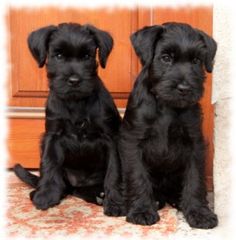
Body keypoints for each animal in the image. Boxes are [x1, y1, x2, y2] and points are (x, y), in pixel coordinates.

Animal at [13, 22, 122, 210]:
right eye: (58, 55)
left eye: (87, 56)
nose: (74, 80)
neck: (76, 101)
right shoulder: (52, 136)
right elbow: (49, 164)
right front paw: (45, 195)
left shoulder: (110, 137)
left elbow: (114, 170)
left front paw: (115, 201)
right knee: (67, 187)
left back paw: (100, 195)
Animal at [118, 22, 218, 229]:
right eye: (166, 58)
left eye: (196, 60)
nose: (184, 89)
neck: (167, 106)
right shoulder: (133, 141)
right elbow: (137, 176)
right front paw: (141, 210)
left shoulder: (194, 144)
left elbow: (195, 179)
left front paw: (199, 213)